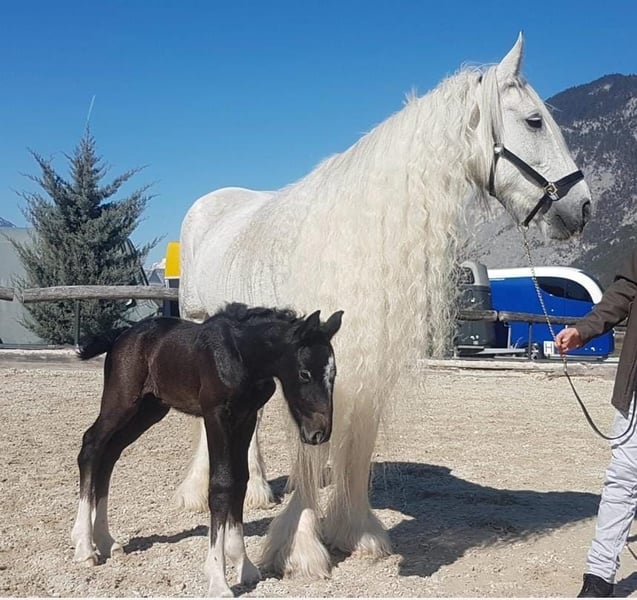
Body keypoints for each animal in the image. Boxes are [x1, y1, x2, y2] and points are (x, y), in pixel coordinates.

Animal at [70, 302, 343, 597]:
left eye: (332, 374)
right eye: (304, 373)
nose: (319, 433)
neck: (242, 356)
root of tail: (121, 335)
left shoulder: (246, 417)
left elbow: (241, 481)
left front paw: (244, 565)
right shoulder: (216, 415)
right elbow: (221, 484)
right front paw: (218, 580)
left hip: (149, 410)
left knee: (110, 454)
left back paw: (106, 541)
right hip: (121, 401)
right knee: (92, 445)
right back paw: (84, 547)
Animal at [176, 34, 592, 579]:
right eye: (534, 120)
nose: (582, 207)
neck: (358, 232)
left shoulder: (363, 359)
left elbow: (357, 441)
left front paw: (356, 531)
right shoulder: (303, 360)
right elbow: (310, 451)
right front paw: (301, 549)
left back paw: (260, 490)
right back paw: (198, 492)